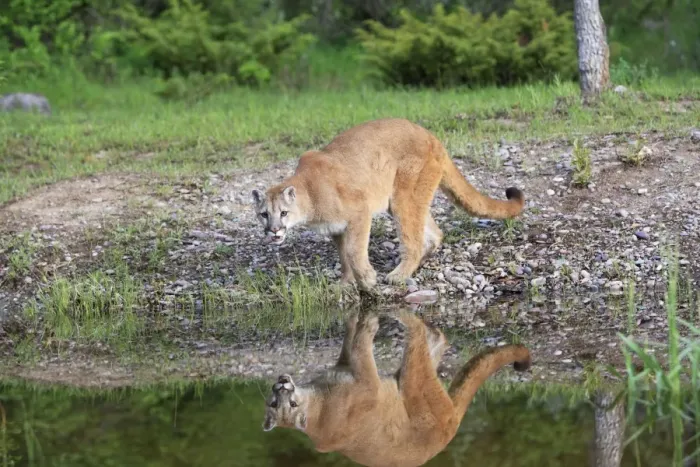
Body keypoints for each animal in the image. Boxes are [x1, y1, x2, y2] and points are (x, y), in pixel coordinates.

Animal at [251, 118, 525, 290]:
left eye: (283, 213)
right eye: (264, 214)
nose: (273, 230)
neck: (309, 192)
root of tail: (432, 136)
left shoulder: (359, 212)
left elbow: (354, 251)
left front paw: (367, 279)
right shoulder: (336, 228)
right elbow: (343, 255)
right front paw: (346, 283)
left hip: (404, 197)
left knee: (413, 241)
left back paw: (399, 275)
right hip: (404, 200)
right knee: (435, 233)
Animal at [262, 311, 531, 467]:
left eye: (286, 403)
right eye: (278, 404)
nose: (282, 385)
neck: (318, 409)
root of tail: (451, 427)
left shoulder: (346, 368)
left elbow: (352, 342)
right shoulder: (367, 381)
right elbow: (361, 345)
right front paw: (370, 325)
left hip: (410, 377)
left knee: (437, 339)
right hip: (415, 383)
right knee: (424, 336)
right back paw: (401, 312)